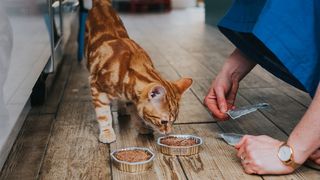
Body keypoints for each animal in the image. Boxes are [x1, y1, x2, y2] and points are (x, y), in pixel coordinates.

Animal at [84, 0, 192, 143]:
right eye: (163, 122)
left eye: (173, 121)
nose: (168, 133)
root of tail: (101, 4)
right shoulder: (96, 87)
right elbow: (103, 115)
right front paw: (107, 133)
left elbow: (137, 113)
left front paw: (141, 126)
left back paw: (122, 108)